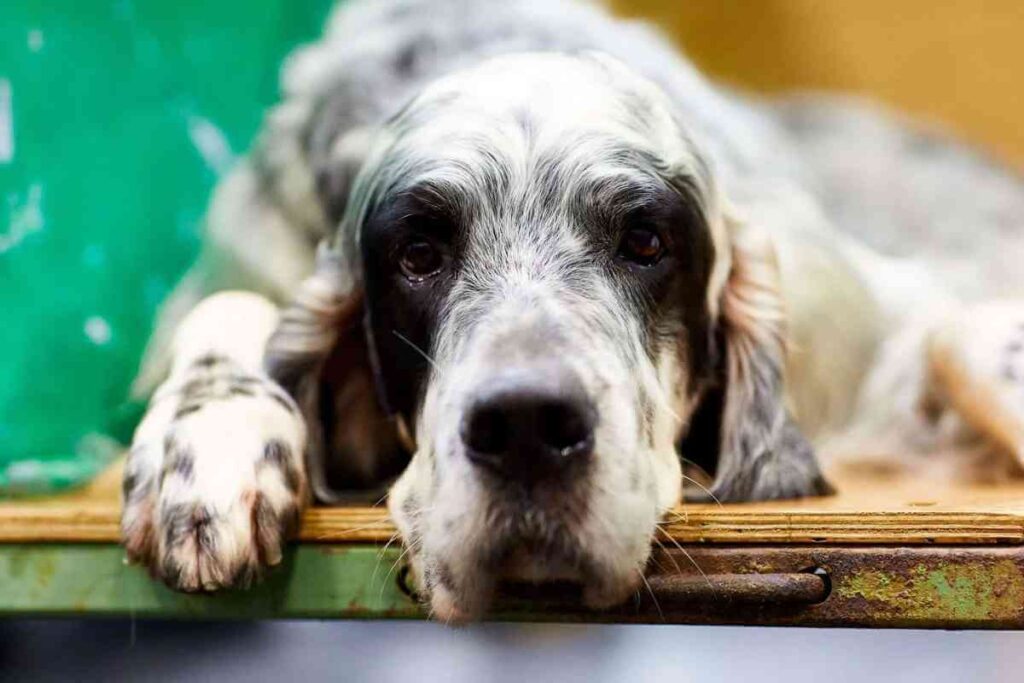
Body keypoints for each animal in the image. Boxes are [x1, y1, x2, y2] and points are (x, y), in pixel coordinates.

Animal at [121, 0, 1024, 618]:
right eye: (418, 254)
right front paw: (206, 442)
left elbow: (959, 331)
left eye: (646, 240)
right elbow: (229, 305)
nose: (526, 425)